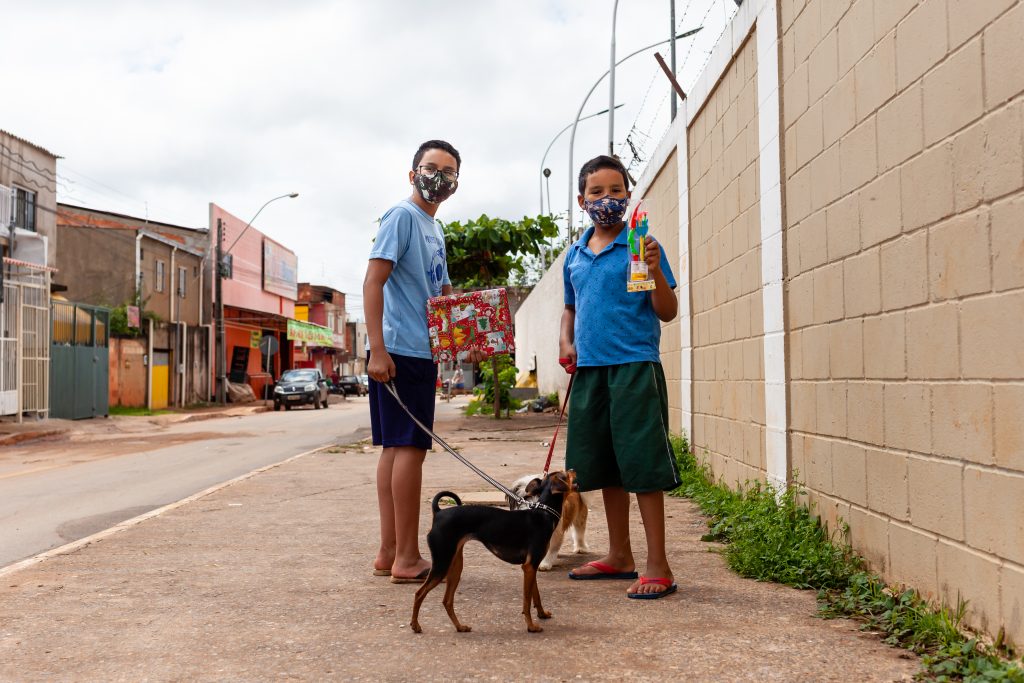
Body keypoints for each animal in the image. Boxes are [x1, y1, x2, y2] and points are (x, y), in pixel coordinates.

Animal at [411, 471, 581, 634]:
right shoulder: (529, 567)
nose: (574, 470)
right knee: (419, 593)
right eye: (566, 475)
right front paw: (531, 626)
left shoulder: (531, 567)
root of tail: (438, 513)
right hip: (441, 564)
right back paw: (415, 625)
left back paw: (460, 627)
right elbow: (527, 601)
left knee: (447, 600)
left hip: (455, 566)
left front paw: (542, 614)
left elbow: (536, 595)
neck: (543, 513)